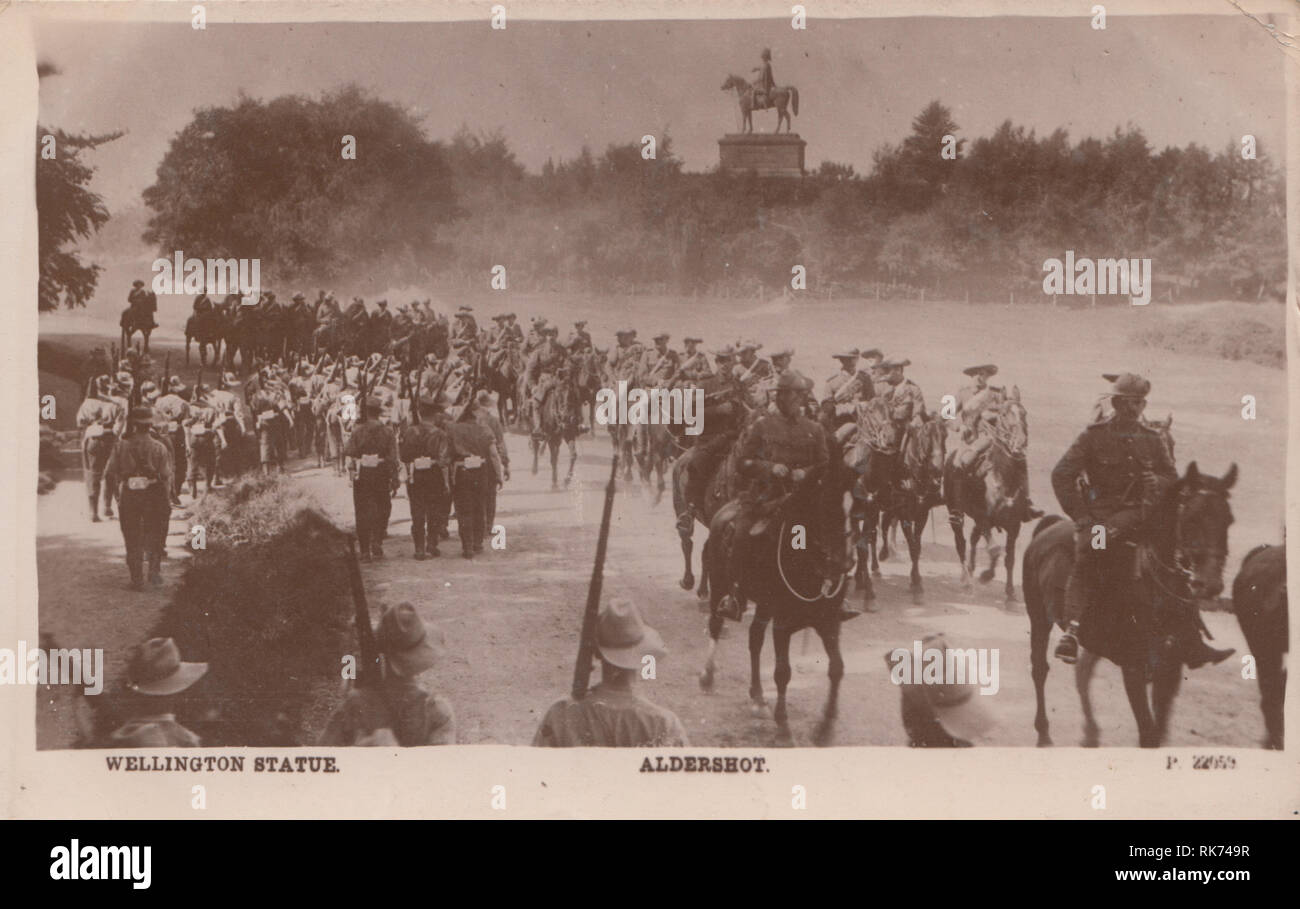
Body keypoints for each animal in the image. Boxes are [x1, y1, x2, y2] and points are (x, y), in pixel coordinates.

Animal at [702, 442, 852, 749]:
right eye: (824, 503)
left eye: (854, 506)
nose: (843, 564)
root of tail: (727, 508)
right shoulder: (783, 626)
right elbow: (783, 673)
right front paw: (783, 728)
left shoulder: (829, 622)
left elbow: (837, 668)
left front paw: (825, 727)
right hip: (719, 584)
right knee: (715, 624)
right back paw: (708, 676)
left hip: (764, 606)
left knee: (755, 638)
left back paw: (758, 697)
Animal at [946, 387, 1034, 600]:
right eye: (1004, 414)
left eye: (1024, 413)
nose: (1020, 443)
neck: (1005, 479)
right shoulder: (983, 518)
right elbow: (994, 549)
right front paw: (986, 575)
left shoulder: (1014, 525)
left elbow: (1010, 558)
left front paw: (1010, 592)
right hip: (956, 514)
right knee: (961, 543)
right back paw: (966, 580)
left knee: (973, 538)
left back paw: (971, 569)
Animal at [1024, 462, 1237, 749]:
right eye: (1192, 518)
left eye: (1228, 519)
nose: (1210, 584)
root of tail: (1049, 528)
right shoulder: (1134, 670)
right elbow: (1148, 733)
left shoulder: (1169, 671)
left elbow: (1158, 731)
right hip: (1038, 619)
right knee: (1040, 669)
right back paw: (1044, 732)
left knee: (1082, 673)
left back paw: (1090, 733)